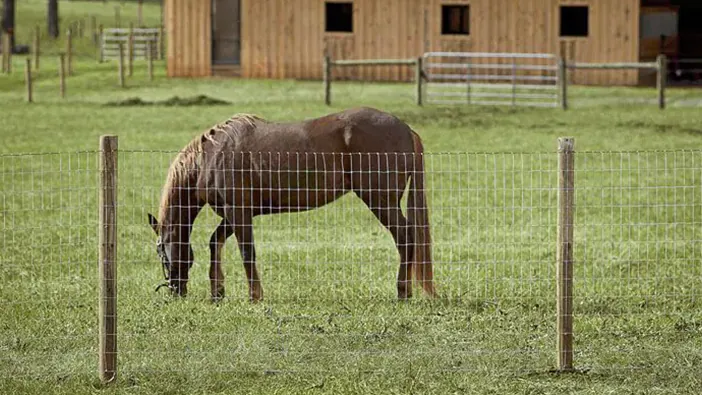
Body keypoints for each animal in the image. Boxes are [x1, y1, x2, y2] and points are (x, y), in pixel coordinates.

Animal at [146, 106, 438, 302]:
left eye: (160, 250)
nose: (175, 290)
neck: (212, 155)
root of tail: (406, 129)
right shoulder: (234, 214)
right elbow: (215, 242)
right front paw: (218, 291)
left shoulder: (238, 212)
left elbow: (247, 252)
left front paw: (255, 296)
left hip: (381, 200)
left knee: (405, 237)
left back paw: (402, 292)